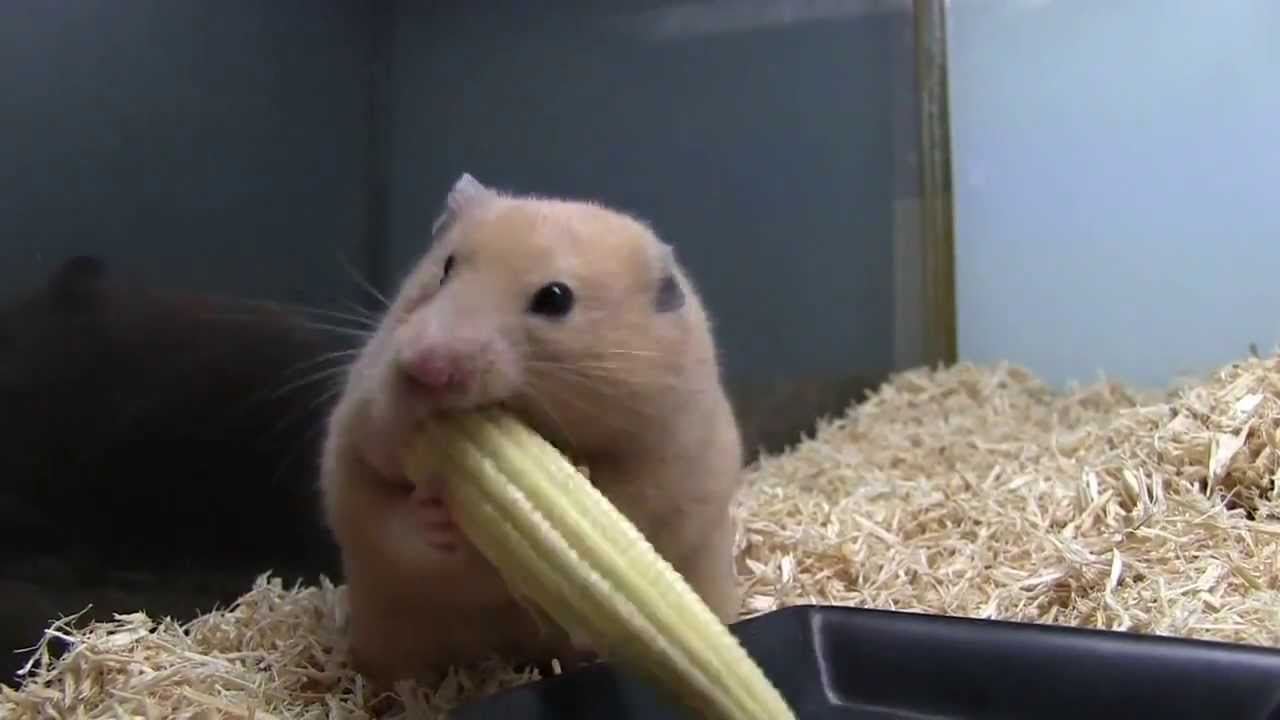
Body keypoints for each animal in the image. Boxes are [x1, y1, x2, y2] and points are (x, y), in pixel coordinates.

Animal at [319, 174, 745, 685]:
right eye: (446, 267)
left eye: (555, 299)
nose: (425, 367)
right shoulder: (357, 438)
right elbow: (389, 520)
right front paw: (436, 511)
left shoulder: (663, 467)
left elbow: (619, 504)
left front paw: (578, 474)